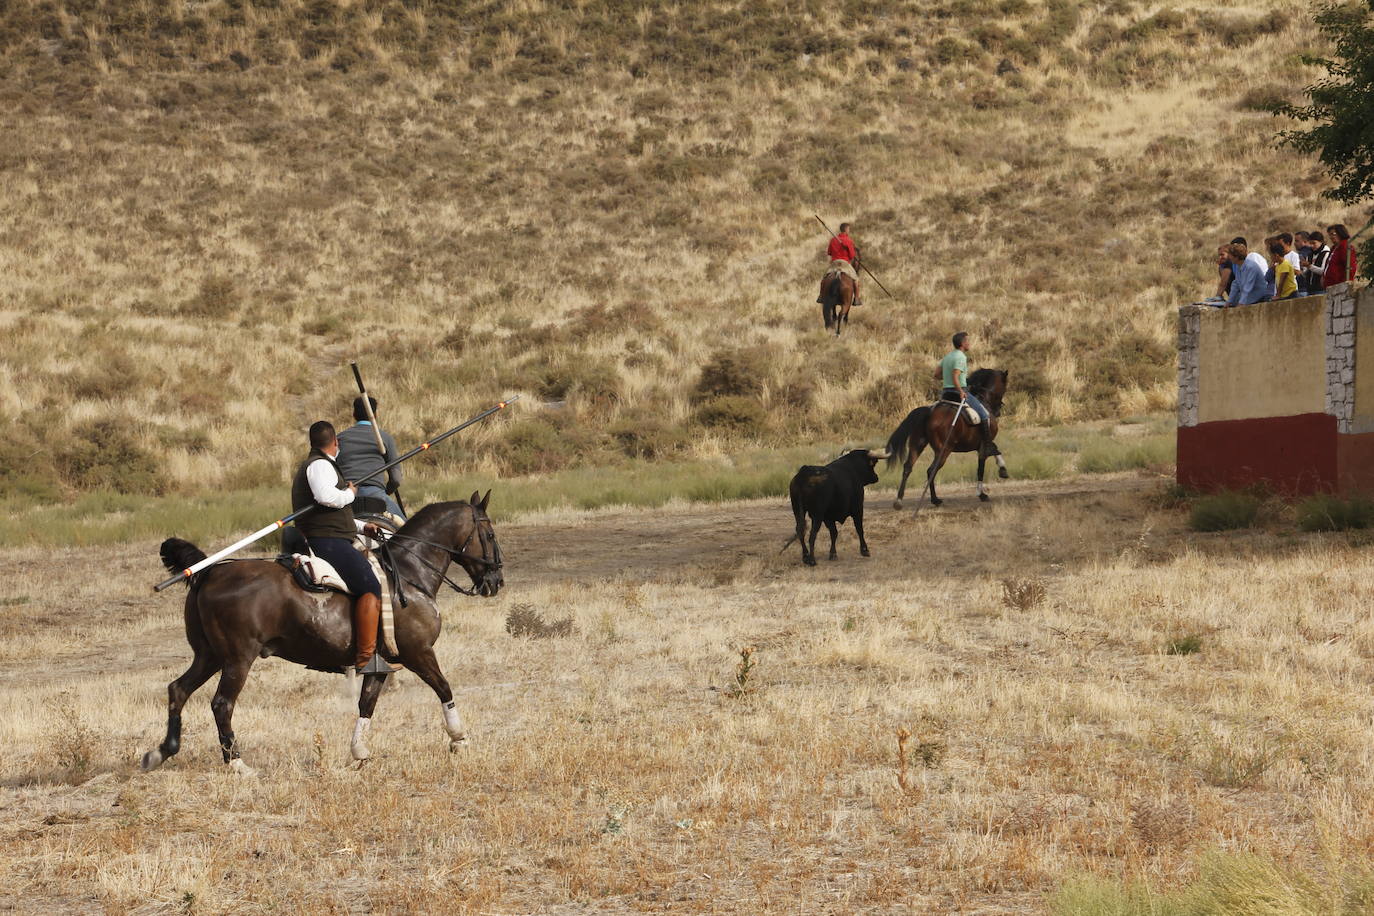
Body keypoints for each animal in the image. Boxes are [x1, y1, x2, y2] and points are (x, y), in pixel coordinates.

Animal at [142, 494, 505, 774]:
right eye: (489, 534)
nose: (496, 581)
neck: (408, 573)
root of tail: (211, 572)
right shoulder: (418, 652)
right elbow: (444, 688)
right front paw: (459, 738)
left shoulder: (380, 664)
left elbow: (366, 704)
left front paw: (359, 753)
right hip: (236, 659)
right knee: (222, 704)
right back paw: (237, 763)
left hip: (208, 656)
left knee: (178, 690)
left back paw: (162, 751)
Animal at [879, 368, 1011, 508]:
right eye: (1005, 386)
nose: (998, 411)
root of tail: (929, 411)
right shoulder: (983, 446)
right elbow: (981, 468)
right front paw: (982, 494)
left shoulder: (981, 444)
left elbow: (995, 450)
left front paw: (1002, 470)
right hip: (944, 450)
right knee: (931, 470)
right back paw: (935, 499)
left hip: (917, 444)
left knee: (908, 467)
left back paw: (899, 500)